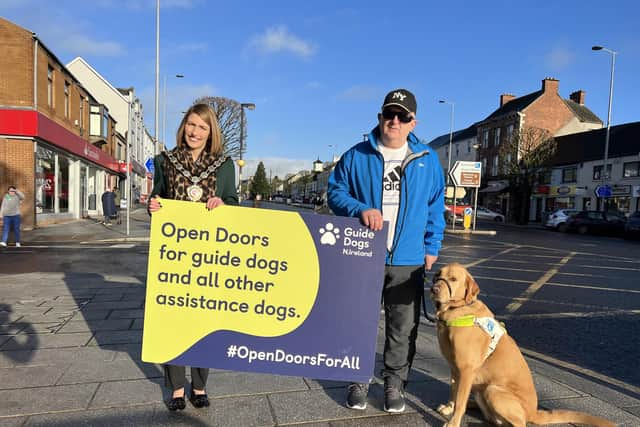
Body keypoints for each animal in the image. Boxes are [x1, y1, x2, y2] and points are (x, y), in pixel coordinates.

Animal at [430, 262, 616, 427]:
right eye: (437, 275)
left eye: (453, 279)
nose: (434, 289)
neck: (456, 310)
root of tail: (533, 413)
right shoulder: (454, 368)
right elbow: (454, 392)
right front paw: (449, 408)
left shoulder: (466, 370)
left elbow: (460, 402)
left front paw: (453, 422)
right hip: (483, 390)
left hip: (494, 391)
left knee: (519, 423)